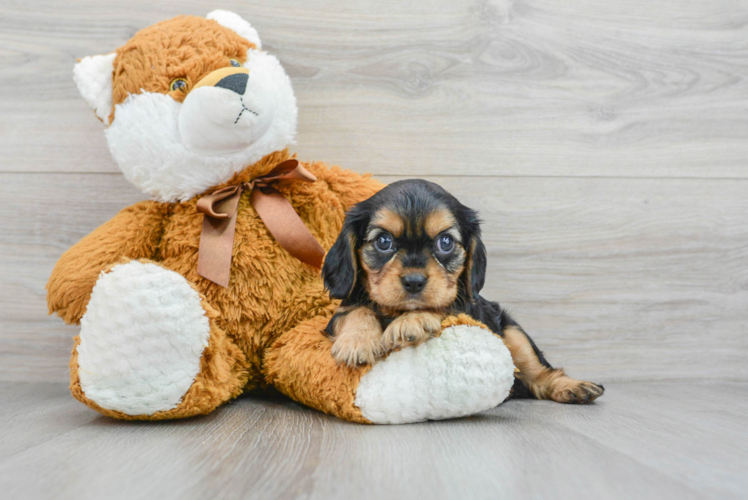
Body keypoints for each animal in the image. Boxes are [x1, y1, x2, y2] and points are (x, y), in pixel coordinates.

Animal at [322, 178, 600, 404]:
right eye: (383, 241)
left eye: (445, 242)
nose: (414, 281)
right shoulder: (340, 312)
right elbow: (355, 311)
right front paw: (357, 342)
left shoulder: (466, 305)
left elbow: (445, 304)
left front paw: (413, 321)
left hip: (514, 334)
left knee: (540, 374)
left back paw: (574, 387)